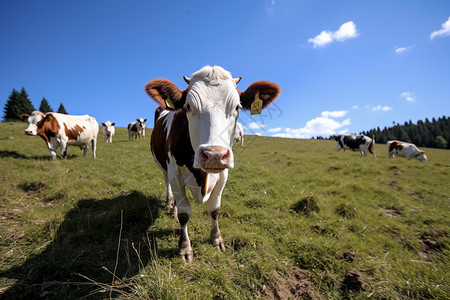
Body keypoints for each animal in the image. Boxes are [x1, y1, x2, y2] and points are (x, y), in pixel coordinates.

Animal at [148, 66, 282, 262]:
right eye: (188, 106)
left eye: (237, 107)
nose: (214, 155)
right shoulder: (175, 172)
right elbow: (184, 213)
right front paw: (185, 248)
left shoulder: (223, 174)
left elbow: (214, 209)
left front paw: (216, 239)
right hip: (164, 168)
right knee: (168, 185)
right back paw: (170, 206)